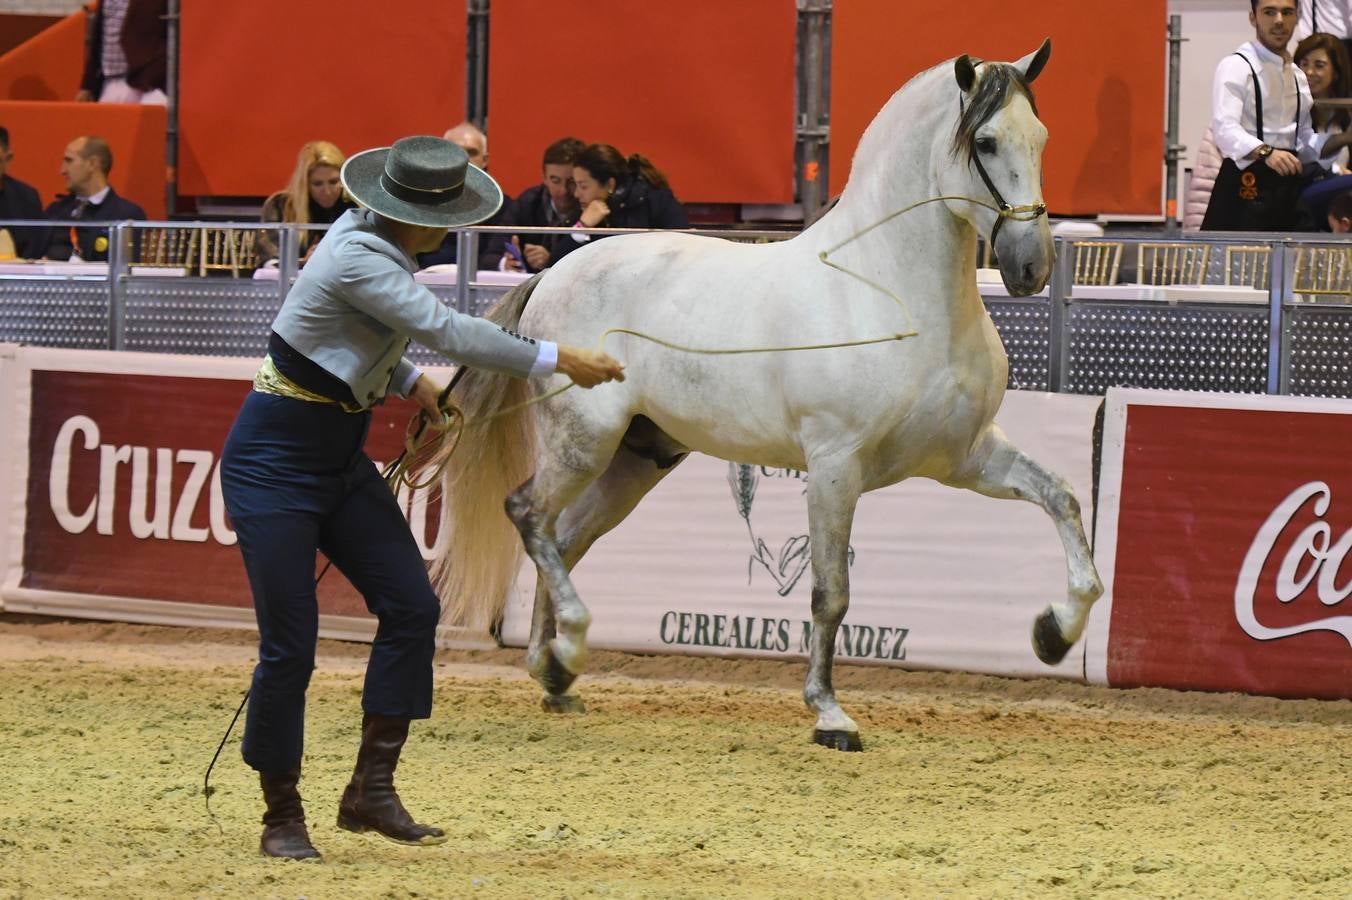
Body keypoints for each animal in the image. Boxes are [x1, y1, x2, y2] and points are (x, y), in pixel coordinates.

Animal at [438, 38, 1103, 745]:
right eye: (985, 141)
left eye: (1040, 137)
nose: (1031, 267)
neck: (887, 290)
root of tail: (555, 272)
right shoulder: (836, 466)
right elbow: (831, 591)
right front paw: (830, 714)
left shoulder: (966, 457)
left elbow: (1062, 499)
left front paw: (1053, 634)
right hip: (583, 443)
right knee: (529, 516)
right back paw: (569, 645)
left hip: (638, 460)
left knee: (563, 539)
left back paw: (556, 671)